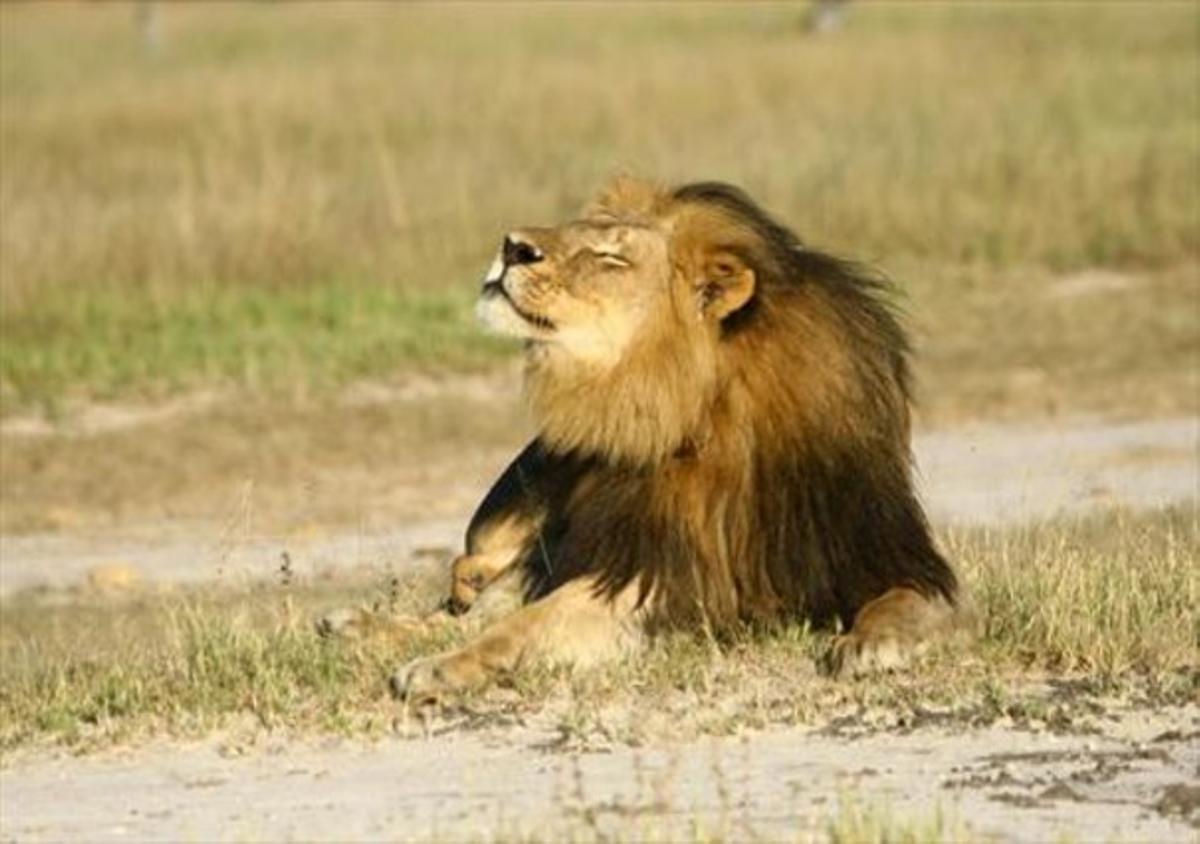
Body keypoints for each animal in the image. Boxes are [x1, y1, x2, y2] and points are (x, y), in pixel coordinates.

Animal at [340, 176, 964, 701]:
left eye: (610, 257)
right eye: (579, 230)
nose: (512, 246)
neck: (696, 411)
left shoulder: (883, 556)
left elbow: (910, 601)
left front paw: (868, 644)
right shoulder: (641, 569)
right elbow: (519, 624)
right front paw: (440, 666)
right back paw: (356, 624)